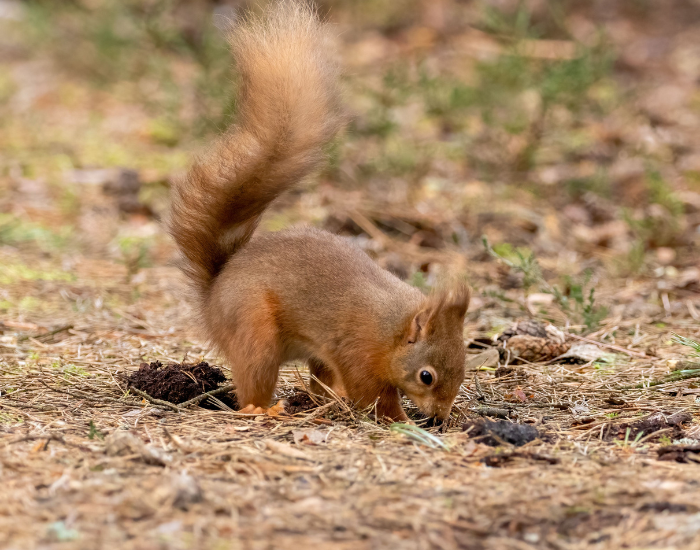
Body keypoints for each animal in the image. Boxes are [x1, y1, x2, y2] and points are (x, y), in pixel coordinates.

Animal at [168, 0, 470, 423]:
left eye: (463, 367)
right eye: (426, 376)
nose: (440, 417)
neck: (389, 327)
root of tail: (214, 292)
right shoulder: (357, 349)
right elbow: (373, 394)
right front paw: (400, 420)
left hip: (312, 352)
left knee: (318, 380)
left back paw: (328, 399)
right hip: (254, 329)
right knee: (254, 378)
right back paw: (265, 410)